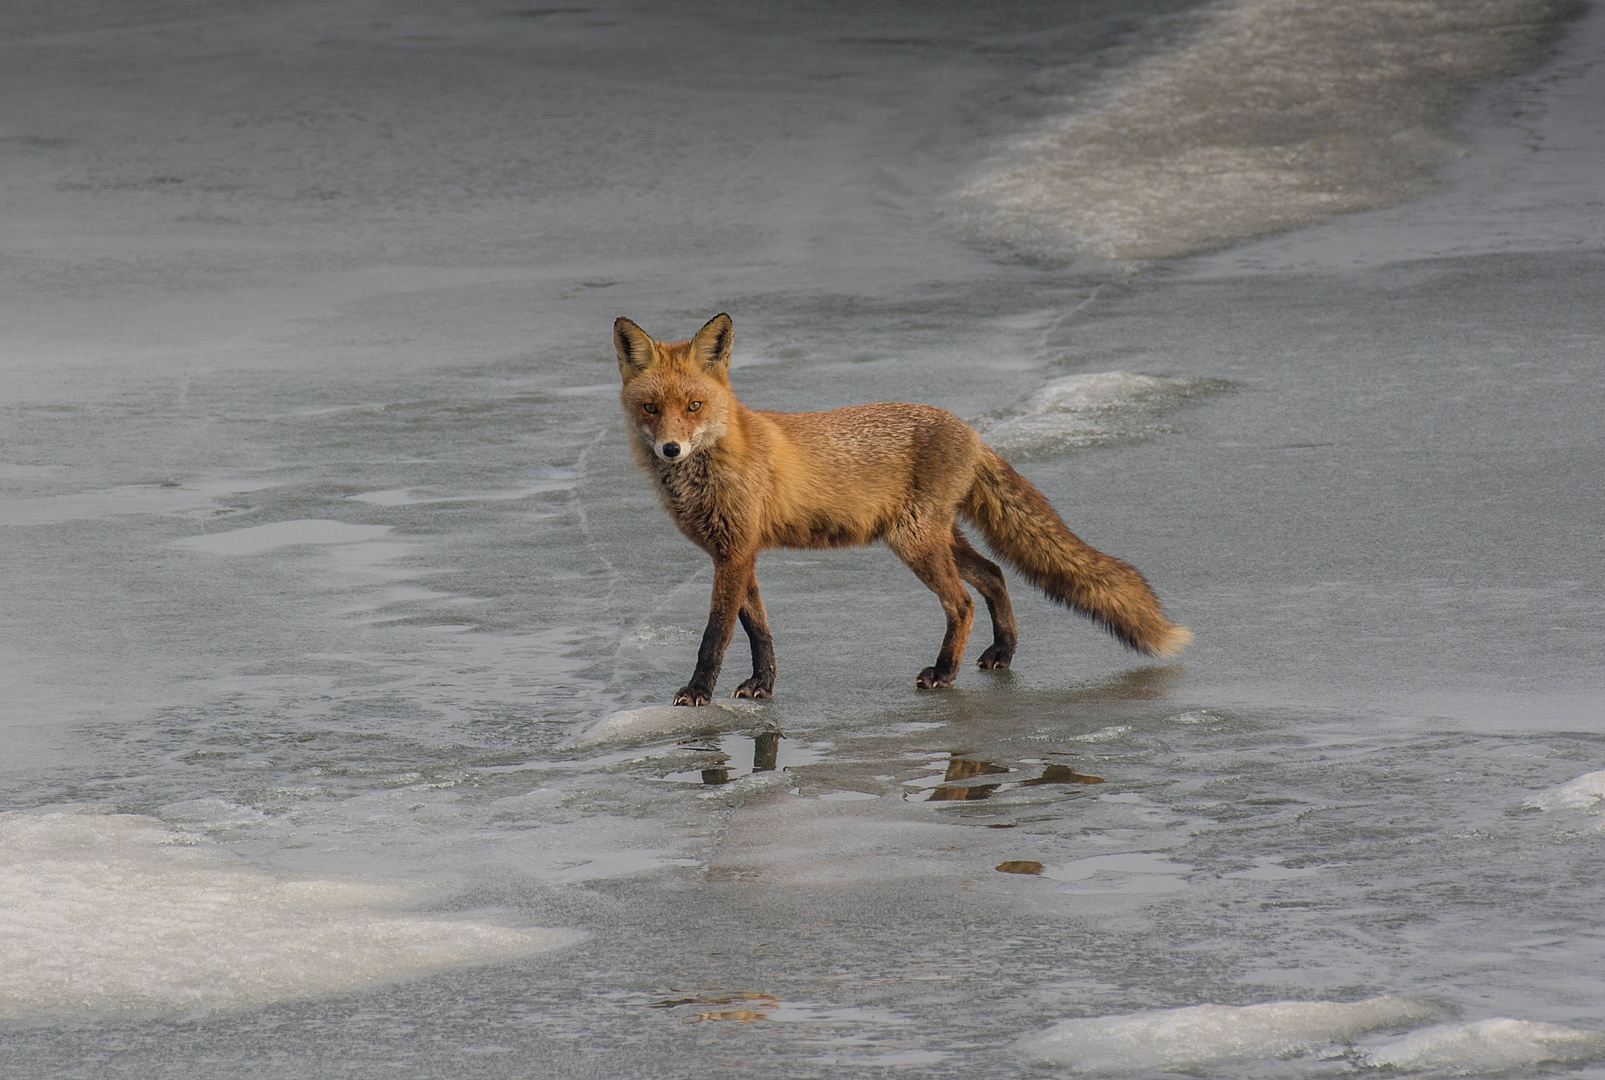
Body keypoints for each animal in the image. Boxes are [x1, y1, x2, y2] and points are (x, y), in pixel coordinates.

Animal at [613, 311, 1194, 702]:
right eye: (651, 408)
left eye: (694, 406)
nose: (671, 449)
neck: (717, 461)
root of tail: (971, 431)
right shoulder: (735, 552)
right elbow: (758, 629)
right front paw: (763, 683)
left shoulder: (734, 554)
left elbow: (715, 633)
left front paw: (697, 691)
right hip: (935, 537)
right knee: (994, 574)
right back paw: (1002, 654)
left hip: (914, 541)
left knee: (962, 602)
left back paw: (944, 673)